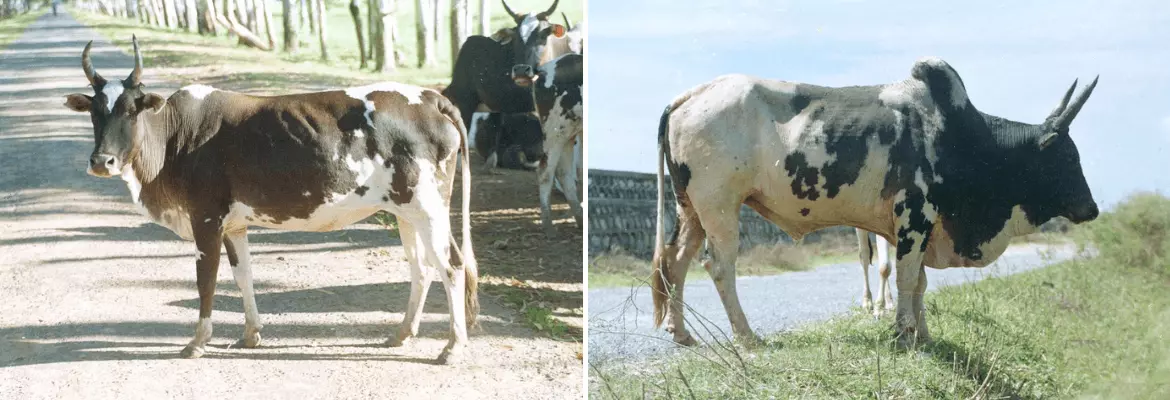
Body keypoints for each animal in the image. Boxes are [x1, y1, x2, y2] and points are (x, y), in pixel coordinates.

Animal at [63, 36, 478, 364]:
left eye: (131, 110)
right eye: (95, 112)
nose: (101, 161)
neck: (172, 140)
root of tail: (430, 96)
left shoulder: (205, 218)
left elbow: (206, 280)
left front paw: (197, 343)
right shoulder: (234, 224)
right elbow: (242, 275)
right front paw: (251, 334)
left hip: (428, 206)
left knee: (452, 266)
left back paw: (453, 348)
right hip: (405, 212)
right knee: (421, 268)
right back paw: (402, 333)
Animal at [649, 57, 1099, 348]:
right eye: (1067, 157)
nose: (1092, 209)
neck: (963, 138)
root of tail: (689, 96)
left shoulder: (918, 226)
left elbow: (919, 282)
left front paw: (924, 334)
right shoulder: (914, 217)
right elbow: (906, 279)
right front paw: (903, 334)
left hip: (691, 208)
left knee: (675, 260)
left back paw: (682, 333)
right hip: (720, 206)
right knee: (718, 266)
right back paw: (747, 337)